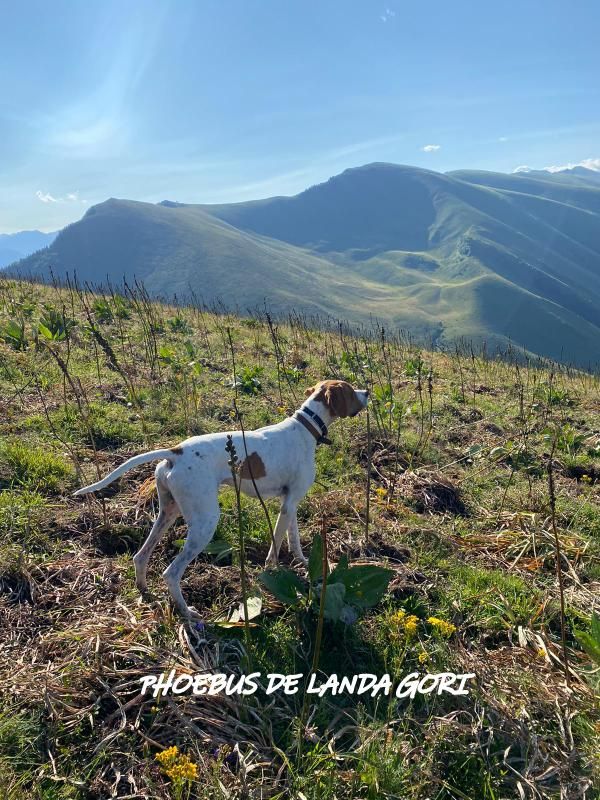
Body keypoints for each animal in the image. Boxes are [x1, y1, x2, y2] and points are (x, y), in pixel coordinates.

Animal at [72, 380, 368, 620]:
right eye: (350, 390)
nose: (367, 392)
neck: (305, 428)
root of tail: (176, 452)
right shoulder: (289, 504)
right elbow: (275, 548)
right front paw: (273, 574)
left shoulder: (289, 503)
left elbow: (293, 539)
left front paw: (306, 565)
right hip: (205, 523)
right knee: (171, 572)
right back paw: (187, 613)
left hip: (168, 513)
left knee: (140, 556)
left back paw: (145, 592)